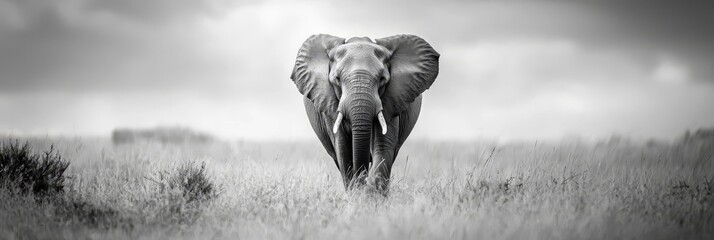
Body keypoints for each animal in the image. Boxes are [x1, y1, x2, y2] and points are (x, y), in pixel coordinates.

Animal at [290, 33, 436, 194]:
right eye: (337, 79)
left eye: (382, 79)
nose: (363, 182)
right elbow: (343, 149)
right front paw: (357, 194)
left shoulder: (392, 100)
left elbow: (383, 146)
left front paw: (371, 195)